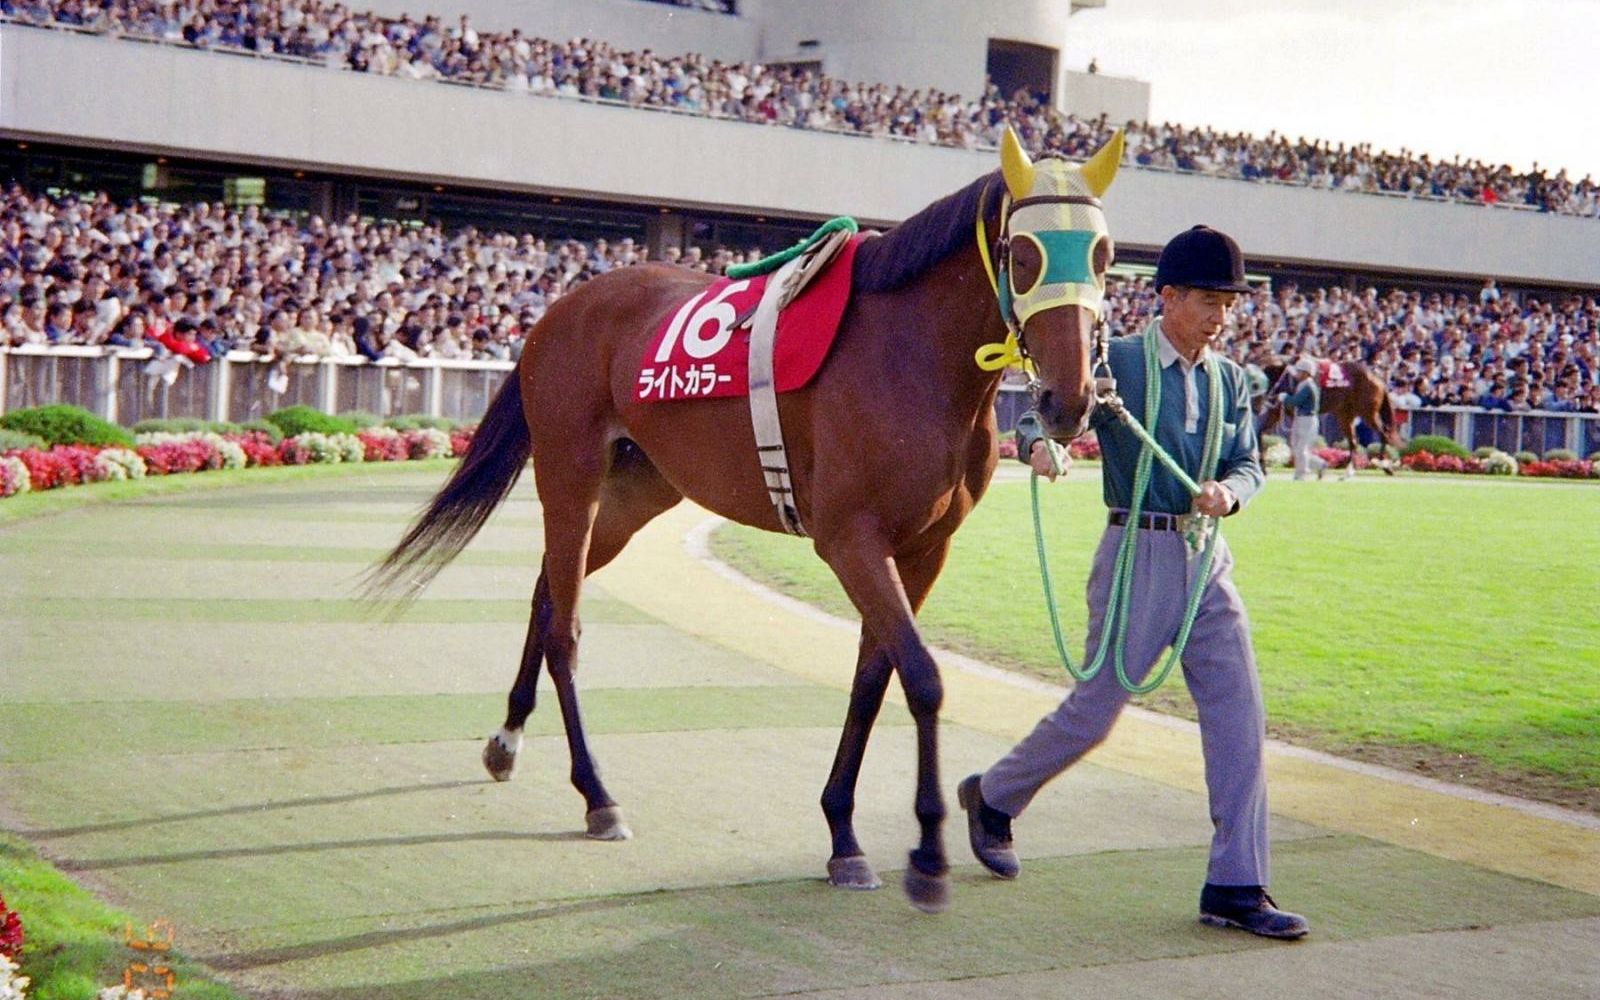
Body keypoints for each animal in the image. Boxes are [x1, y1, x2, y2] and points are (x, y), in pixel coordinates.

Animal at [367, 128, 1125, 913]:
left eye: (1104, 255)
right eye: (1026, 254)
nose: (1069, 402)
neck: (912, 354)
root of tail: (560, 309)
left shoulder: (923, 549)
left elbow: (874, 677)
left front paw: (843, 834)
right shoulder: (850, 539)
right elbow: (921, 677)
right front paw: (925, 854)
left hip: (640, 489)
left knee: (548, 590)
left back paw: (508, 737)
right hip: (570, 477)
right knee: (565, 624)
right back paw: (597, 794)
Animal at [1255, 360, 1401, 476]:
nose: (1257, 406)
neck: (1285, 378)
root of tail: (1378, 380)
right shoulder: (1276, 410)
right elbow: (1259, 432)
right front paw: (1262, 467)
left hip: (1367, 413)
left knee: (1383, 434)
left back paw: (1385, 465)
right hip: (1345, 414)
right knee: (1353, 442)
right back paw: (1349, 470)